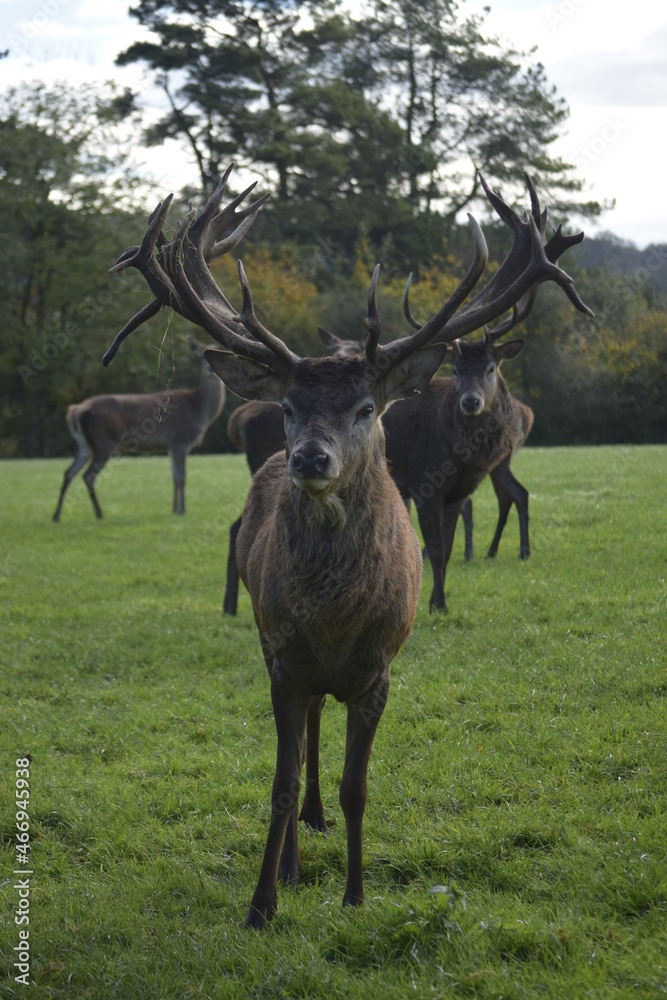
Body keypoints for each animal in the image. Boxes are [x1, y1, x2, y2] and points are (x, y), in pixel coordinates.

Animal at [52, 337, 225, 521]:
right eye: (201, 356)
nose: (210, 369)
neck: (200, 410)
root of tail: (76, 410)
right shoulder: (180, 440)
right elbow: (181, 477)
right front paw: (182, 511)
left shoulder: (170, 446)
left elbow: (173, 477)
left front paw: (174, 509)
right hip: (103, 442)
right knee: (88, 475)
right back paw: (99, 514)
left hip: (83, 446)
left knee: (68, 473)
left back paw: (57, 516)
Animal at [102, 164, 592, 927]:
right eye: (288, 406)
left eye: (366, 408)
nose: (309, 458)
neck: (335, 622)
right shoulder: (281, 660)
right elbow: (282, 776)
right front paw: (263, 901)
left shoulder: (379, 670)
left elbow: (356, 786)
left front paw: (356, 894)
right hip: (275, 644)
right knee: (305, 738)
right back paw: (298, 850)